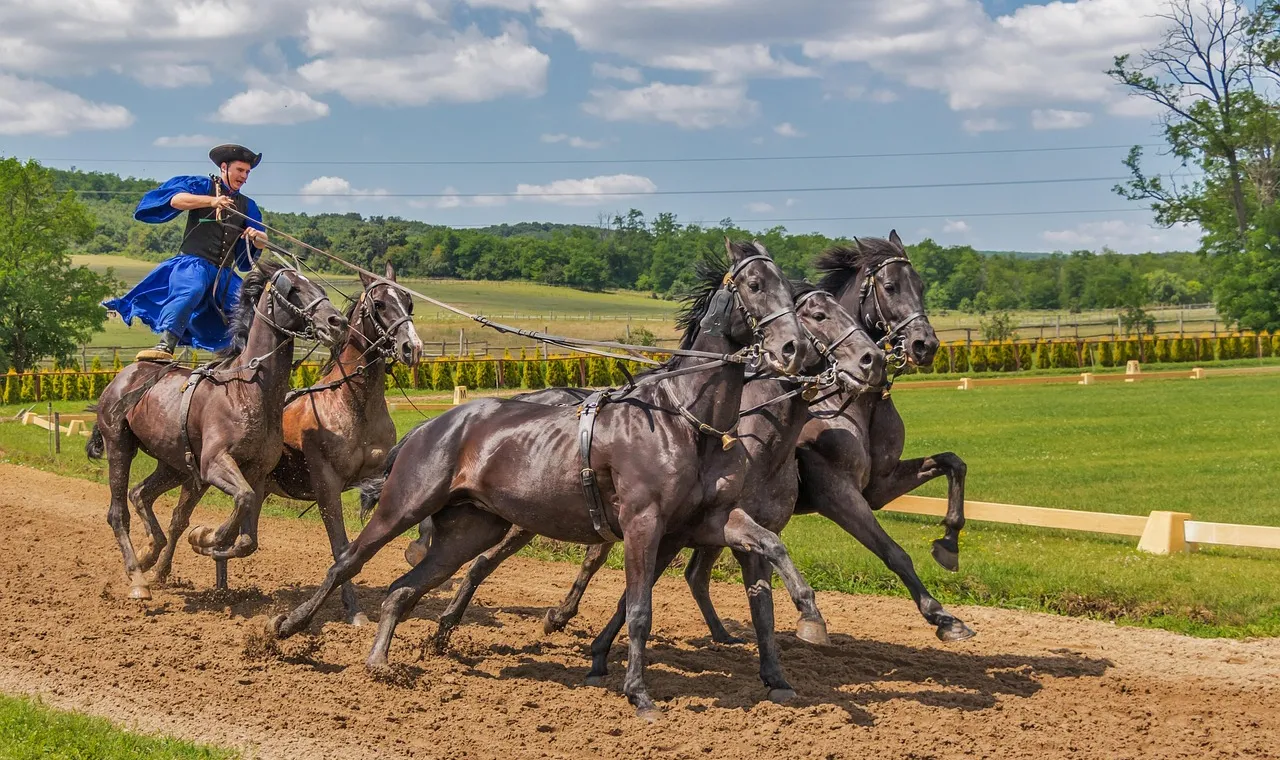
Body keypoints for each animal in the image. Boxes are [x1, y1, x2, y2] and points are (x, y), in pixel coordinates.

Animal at [86, 259, 348, 601]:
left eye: (319, 287)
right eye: (293, 289)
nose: (337, 322)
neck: (246, 389)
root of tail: (122, 377)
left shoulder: (256, 473)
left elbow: (248, 538)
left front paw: (206, 539)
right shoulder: (214, 464)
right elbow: (243, 501)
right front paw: (207, 536)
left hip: (174, 465)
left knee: (141, 493)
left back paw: (150, 553)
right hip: (120, 445)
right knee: (118, 513)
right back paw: (137, 578)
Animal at [266, 262, 422, 625]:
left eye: (409, 303)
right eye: (379, 304)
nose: (413, 347)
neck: (352, 403)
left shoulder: (377, 475)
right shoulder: (327, 485)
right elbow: (341, 547)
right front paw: (354, 612)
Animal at [422, 281, 886, 692]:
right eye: (818, 314)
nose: (873, 360)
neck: (751, 440)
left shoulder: (721, 527)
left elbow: (761, 599)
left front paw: (779, 670)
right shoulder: (672, 528)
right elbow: (641, 593)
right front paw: (602, 656)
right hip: (526, 517)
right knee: (483, 563)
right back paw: (452, 626)